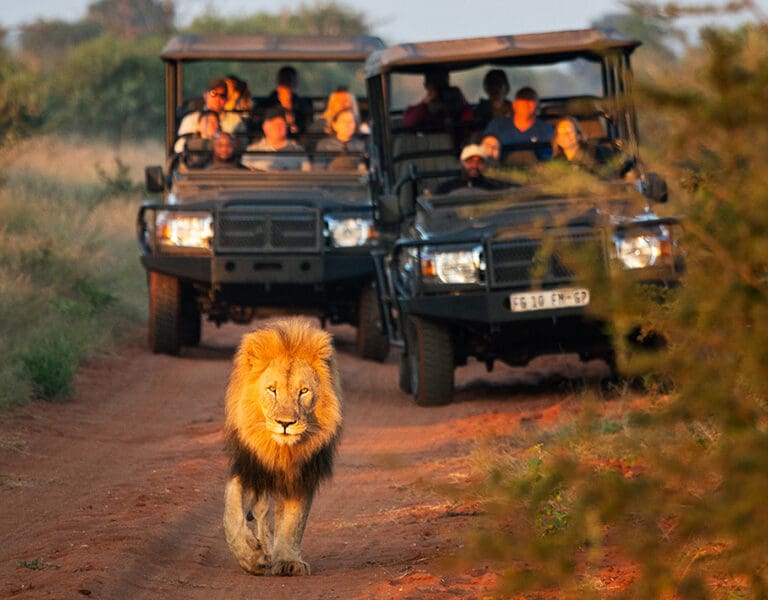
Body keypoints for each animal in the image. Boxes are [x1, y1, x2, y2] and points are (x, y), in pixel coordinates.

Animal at [223, 318, 342, 576]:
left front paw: (288, 561)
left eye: (303, 391)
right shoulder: (249, 465)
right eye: (272, 390)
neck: (281, 450)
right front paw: (250, 557)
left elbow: (293, 521)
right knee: (260, 512)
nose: (285, 424)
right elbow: (232, 513)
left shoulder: (303, 472)